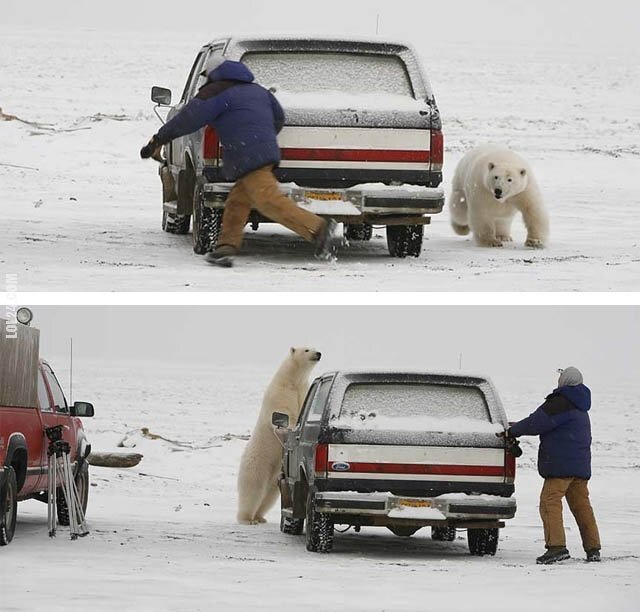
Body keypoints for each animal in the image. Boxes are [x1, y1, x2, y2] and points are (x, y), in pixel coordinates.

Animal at [236, 346, 322, 524]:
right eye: (307, 349)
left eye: (315, 348)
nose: (318, 354)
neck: (293, 380)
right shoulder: (280, 392)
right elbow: (283, 412)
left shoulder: (302, 391)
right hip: (258, 462)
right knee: (253, 489)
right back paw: (247, 518)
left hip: (276, 472)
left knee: (270, 494)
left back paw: (260, 517)